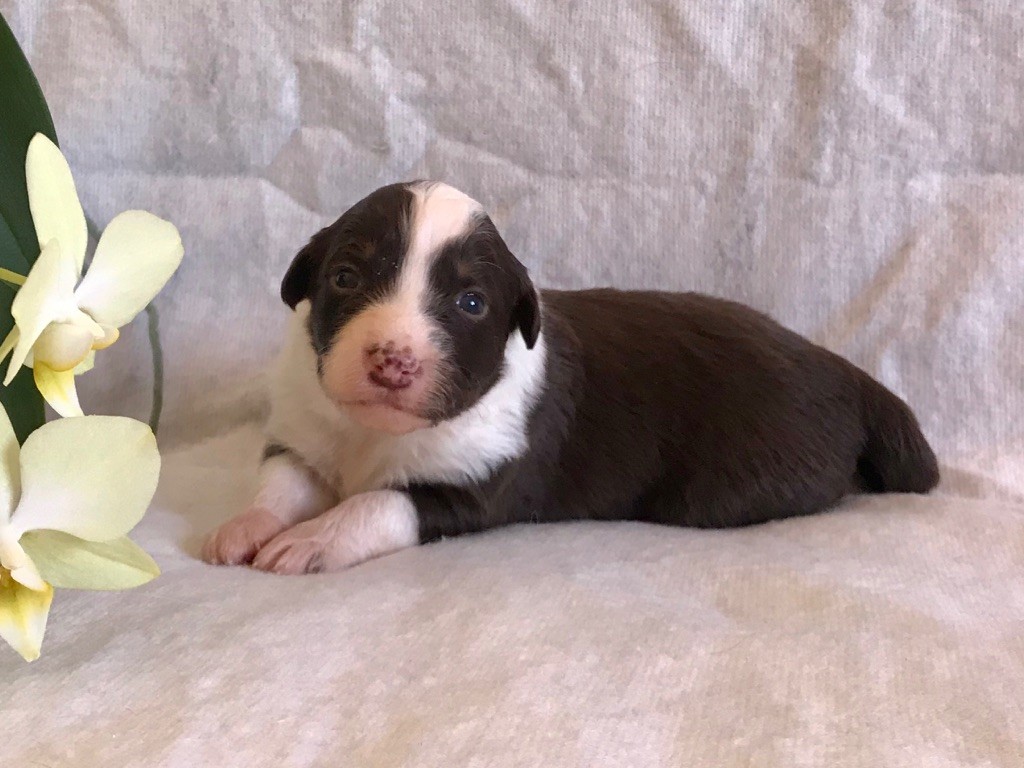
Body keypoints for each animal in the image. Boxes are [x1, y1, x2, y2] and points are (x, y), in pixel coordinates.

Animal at [202, 181, 939, 574]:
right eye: (346, 278)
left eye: (472, 303)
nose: (392, 362)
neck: (374, 434)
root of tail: (840, 367)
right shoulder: (304, 428)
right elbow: (283, 481)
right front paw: (244, 526)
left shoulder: (475, 482)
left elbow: (376, 504)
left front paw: (311, 540)